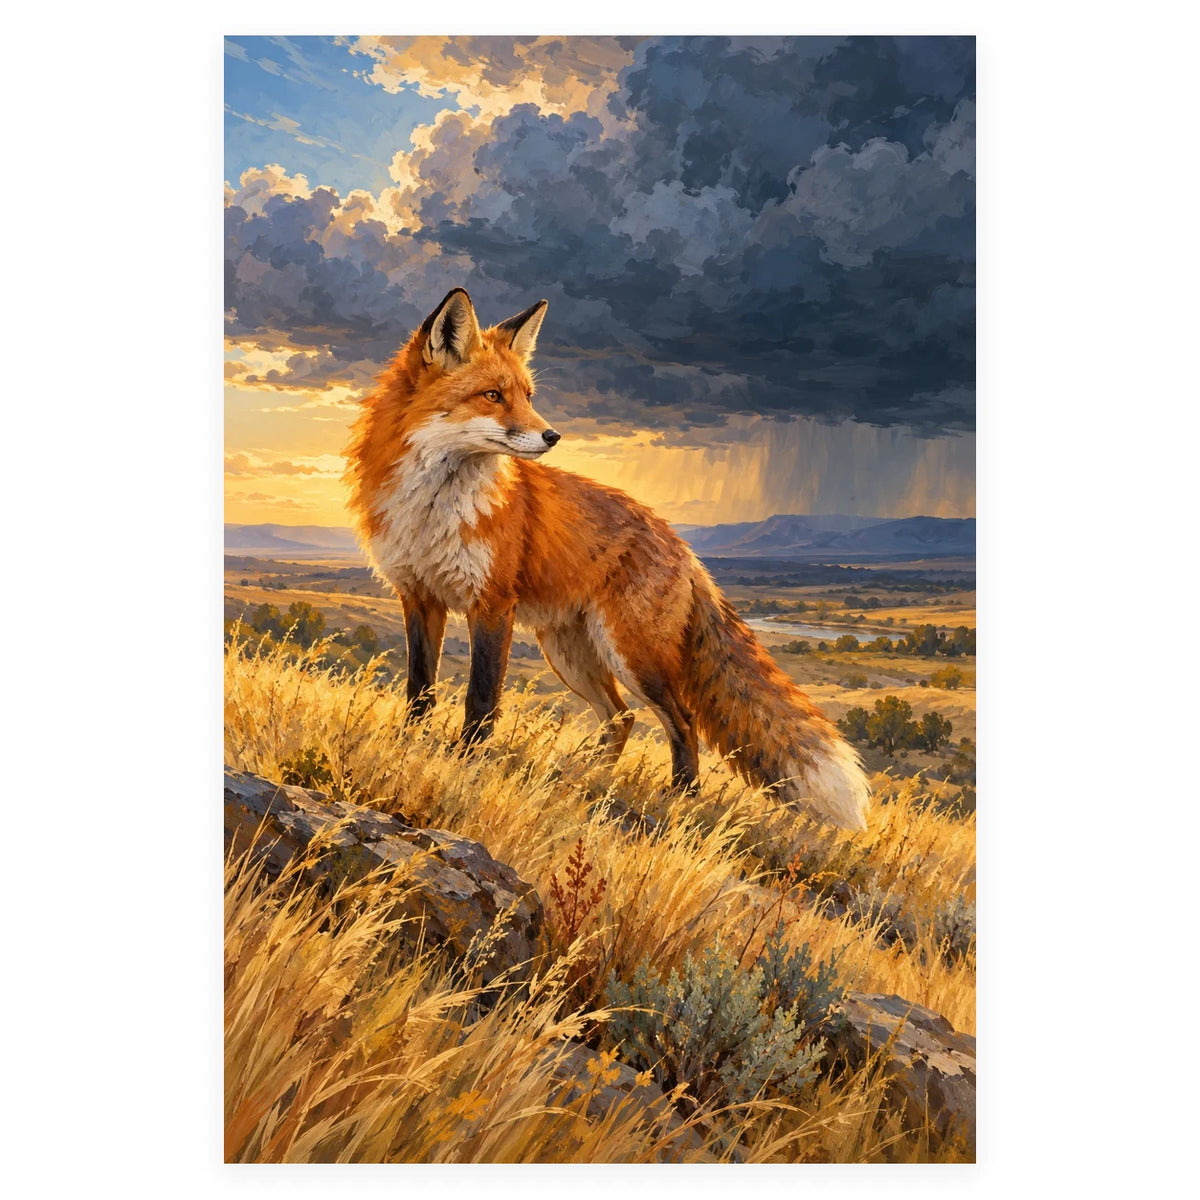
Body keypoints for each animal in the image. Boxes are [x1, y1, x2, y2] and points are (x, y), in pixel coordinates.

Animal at [344, 288, 871, 830]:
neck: (433, 508)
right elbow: (420, 688)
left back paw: (680, 799)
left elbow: (482, 696)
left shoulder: (491, 604)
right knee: (621, 717)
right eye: (493, 395)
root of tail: (683, 548)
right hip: (569, 653)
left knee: (681, 722)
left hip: (632, 654)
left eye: (528, 396)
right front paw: (409, 745)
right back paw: (582, 778)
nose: (553, 436)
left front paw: (467, 763)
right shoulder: (419, 596)